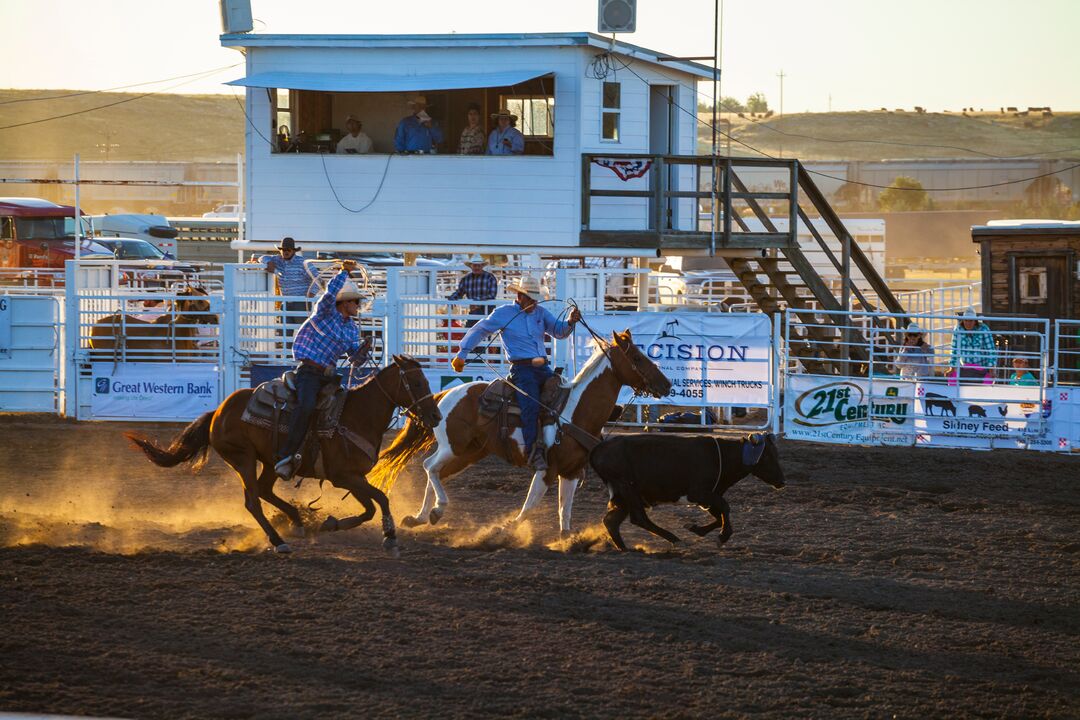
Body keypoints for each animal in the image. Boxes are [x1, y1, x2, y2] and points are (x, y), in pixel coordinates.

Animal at [127, 358, 442, 557]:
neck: (356, 416)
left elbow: (370, 508)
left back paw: (298, 521)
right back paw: (279, 541)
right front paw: (389, 537)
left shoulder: (353, 478)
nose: (436, 416)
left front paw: (330, 524)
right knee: (253, 500)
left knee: (265, 490)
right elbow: (380, 501)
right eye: (416, 382)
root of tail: (218, 411)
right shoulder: (343, 477)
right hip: (242, 459)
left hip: (269, 461)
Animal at [371, 330, 673, 535]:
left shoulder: (572, 471)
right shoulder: (546, 468)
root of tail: (444, 394)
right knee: (429, 466)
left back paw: (422, 516)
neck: (575, 410)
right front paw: (504, 529)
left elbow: (565, 510)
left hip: (469, 452)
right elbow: (530, 505)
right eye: (636, 357)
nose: (666, 384)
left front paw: (567, 539)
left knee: (435, 472)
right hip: (452, 446)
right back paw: (435, 509)